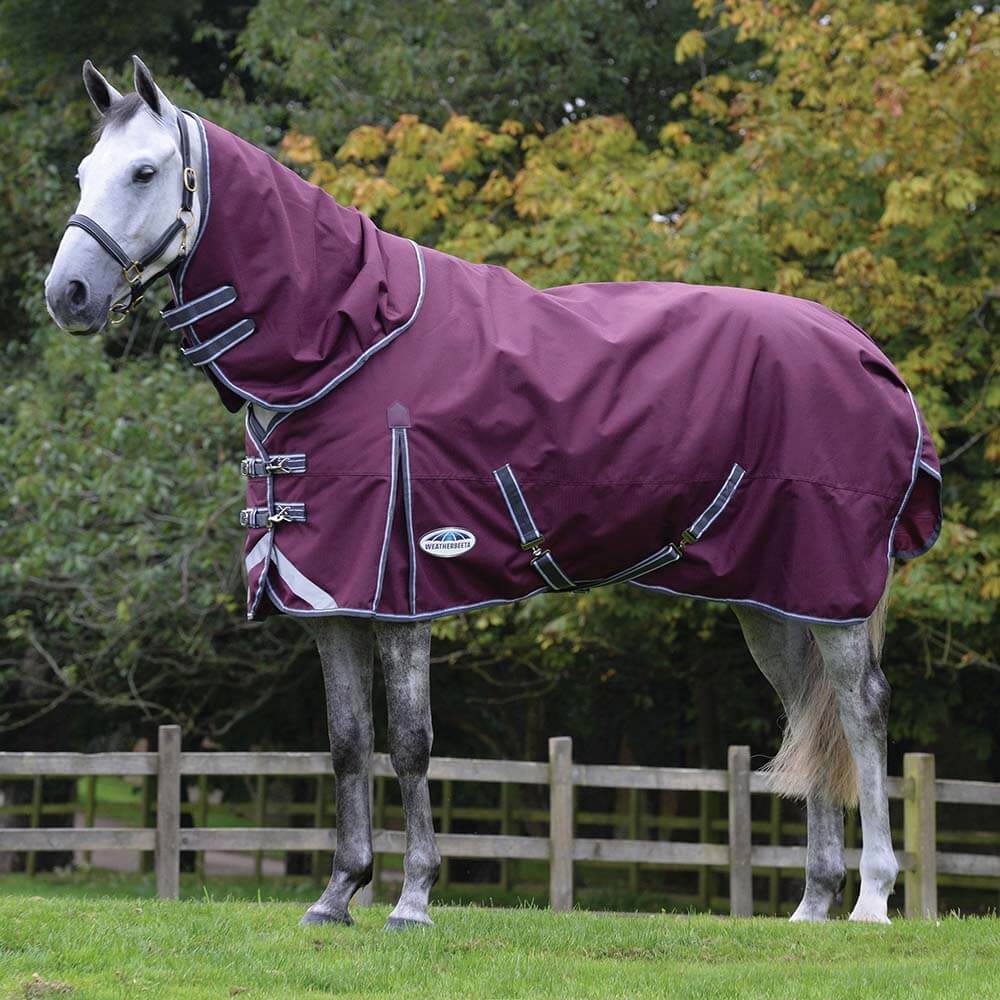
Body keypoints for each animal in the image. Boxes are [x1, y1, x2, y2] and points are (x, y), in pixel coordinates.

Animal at [45, 57, 942, 927]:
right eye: (85, 172)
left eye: (145, 171)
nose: (68, 296)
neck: (349, 345)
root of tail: (866, 350)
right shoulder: (333, 597)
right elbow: (346, 741)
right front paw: (337, 896)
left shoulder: (403, 589)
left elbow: (409, 741)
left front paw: (412, 898)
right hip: (777, 598)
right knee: (808, 715)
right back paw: (811, 906)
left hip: (833, 590)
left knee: (859, 710)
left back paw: (871, 900)